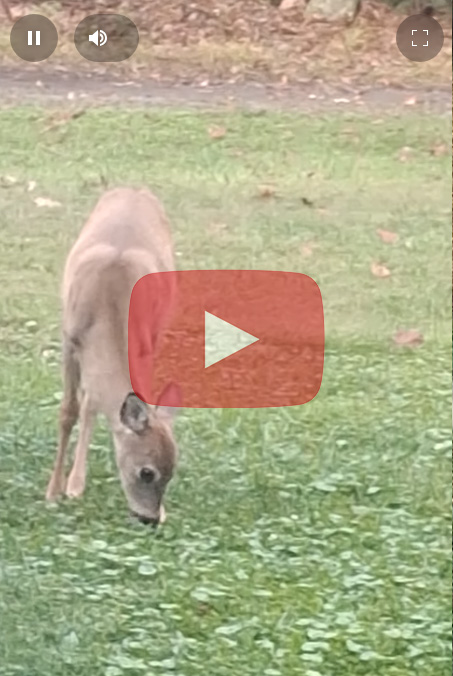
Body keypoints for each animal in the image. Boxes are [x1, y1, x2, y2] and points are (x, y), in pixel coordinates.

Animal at [45, 187, 181, 526]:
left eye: (172, 471)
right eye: (147, 473)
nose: (150, 519)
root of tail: (135, 188)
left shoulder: (146, 344)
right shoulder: (69, 339)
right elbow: (68, 411)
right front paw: (54, 491)